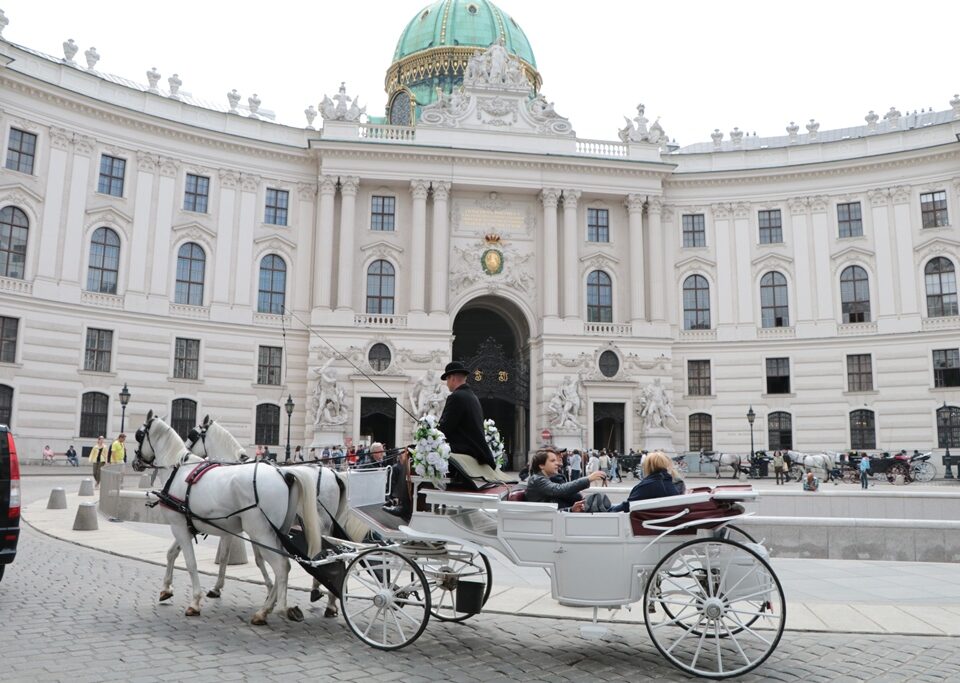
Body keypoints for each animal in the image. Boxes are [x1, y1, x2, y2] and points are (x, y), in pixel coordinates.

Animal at [133, 412, 324, 624]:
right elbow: (172, 553)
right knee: (284, 565)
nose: (135, 462)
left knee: (281, 566)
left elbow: (191, 563)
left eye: (139, 435)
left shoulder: (179, 526)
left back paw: (274, 609)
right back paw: (273, 606)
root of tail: (284, 474)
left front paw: (195, 602)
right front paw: (167, 589)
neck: (177, 470)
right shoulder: (189, 526)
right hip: (276, 533)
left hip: (260, 533)